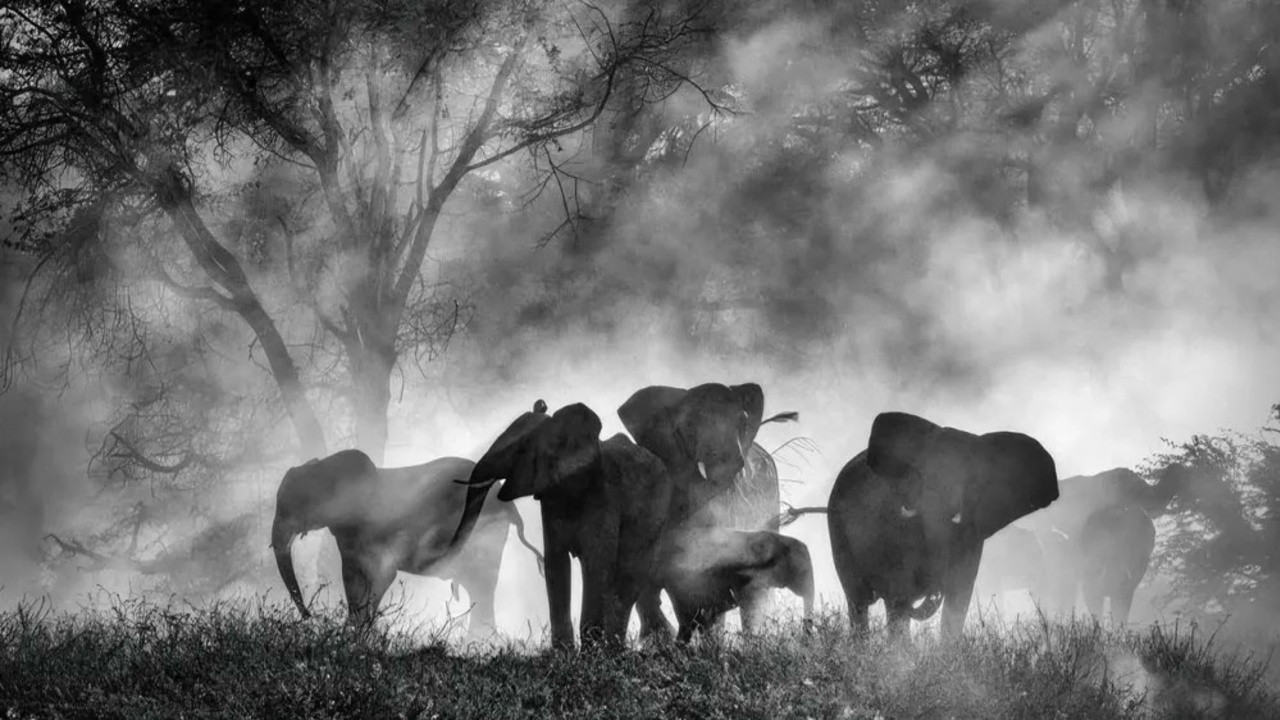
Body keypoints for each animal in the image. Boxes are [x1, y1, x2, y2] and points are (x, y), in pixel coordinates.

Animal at [271, 449, 543, 632]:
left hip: (485, 533)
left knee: (482, 585)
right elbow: (352, 578)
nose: (310, 617)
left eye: (295, 505)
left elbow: (380, 576)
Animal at [449, 401, 673, 650]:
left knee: (629, 577)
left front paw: (590, 653)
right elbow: (555, 564)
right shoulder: (550, 499)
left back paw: (614, 649)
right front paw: (562, 652)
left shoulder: (604, 498)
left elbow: (596, 565)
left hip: (656, 516)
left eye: (521, 450)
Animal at [828, 411, 1059, 638]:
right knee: (858, 601)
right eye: (920, 473)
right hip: (837, 530)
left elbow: (959, 595)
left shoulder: (971, 534)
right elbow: (898, 591)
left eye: (970, 478)